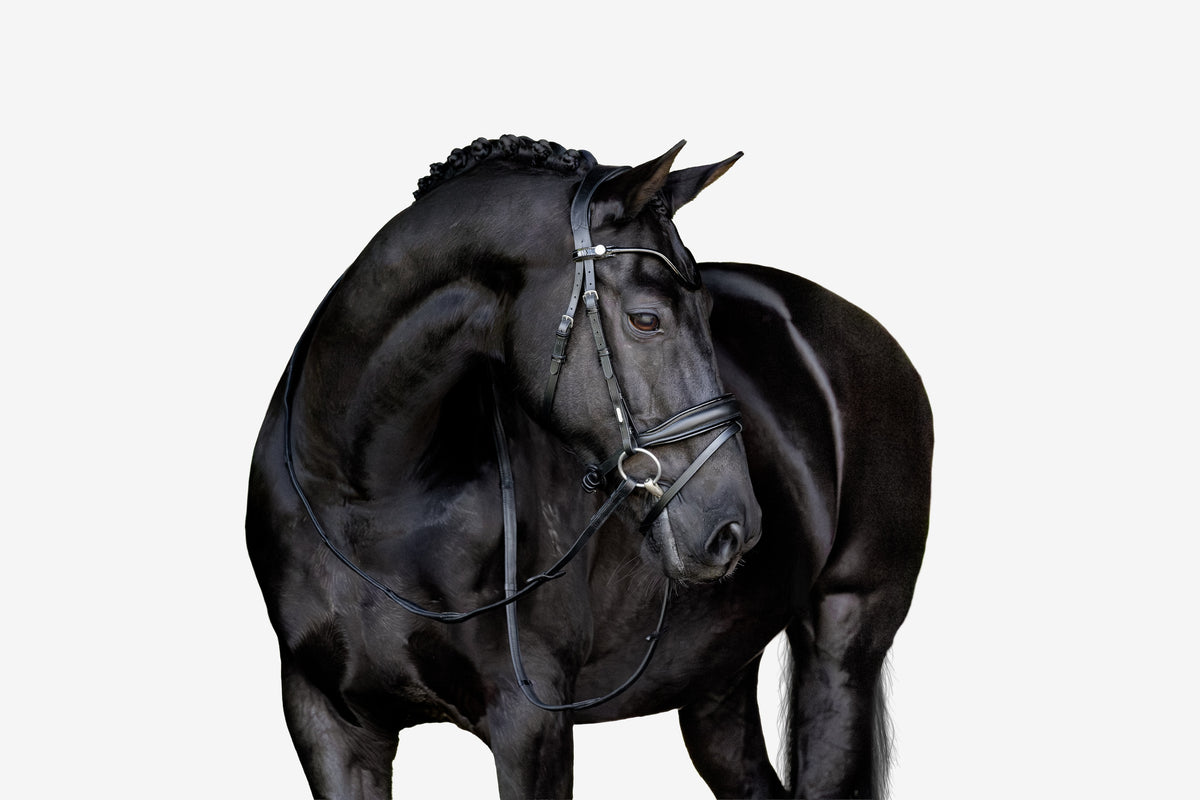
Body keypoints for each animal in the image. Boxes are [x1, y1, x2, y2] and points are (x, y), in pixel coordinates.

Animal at [246, 135, 932, 799]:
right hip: (718, 671)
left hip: (844, 635)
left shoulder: (531, 727)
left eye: (711, 315)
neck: (367, 496)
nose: (733, 528)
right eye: (645, 319)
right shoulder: (329, 722)